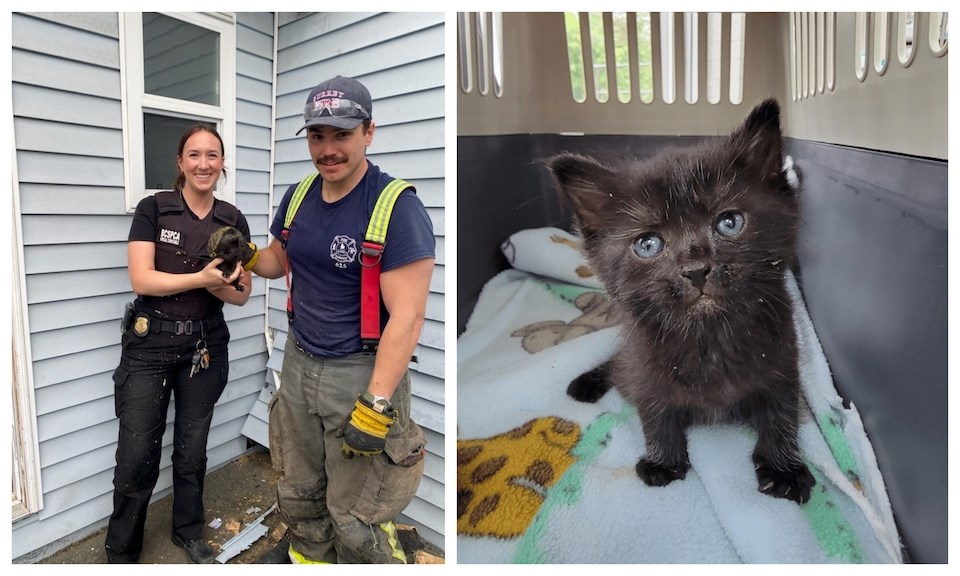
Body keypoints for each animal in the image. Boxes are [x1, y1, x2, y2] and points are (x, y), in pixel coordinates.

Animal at [552, 99, 812, 504]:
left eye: (729, 223)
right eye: (648, 244)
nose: (696, 270)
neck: (711, 335)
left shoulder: (783, 361)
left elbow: (781, 412)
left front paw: (783, 468)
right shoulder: (645, 366)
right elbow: (656, 414)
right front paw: (663, 462)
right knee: (616, 363)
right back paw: (586, 383)